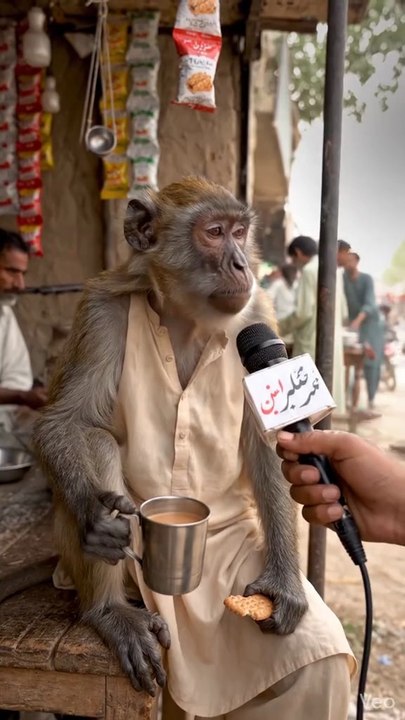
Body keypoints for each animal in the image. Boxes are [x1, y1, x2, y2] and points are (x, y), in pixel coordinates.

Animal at [33, 176, 308, 701]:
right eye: (214, 233)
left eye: (240, 232)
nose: (242, 264)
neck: (187, 318)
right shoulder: (99, 312)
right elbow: (63, 423)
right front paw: (96, 517)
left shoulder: (258, 316)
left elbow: (267, 447)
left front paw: (285, 582)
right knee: (96, 443)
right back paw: (110, 611)